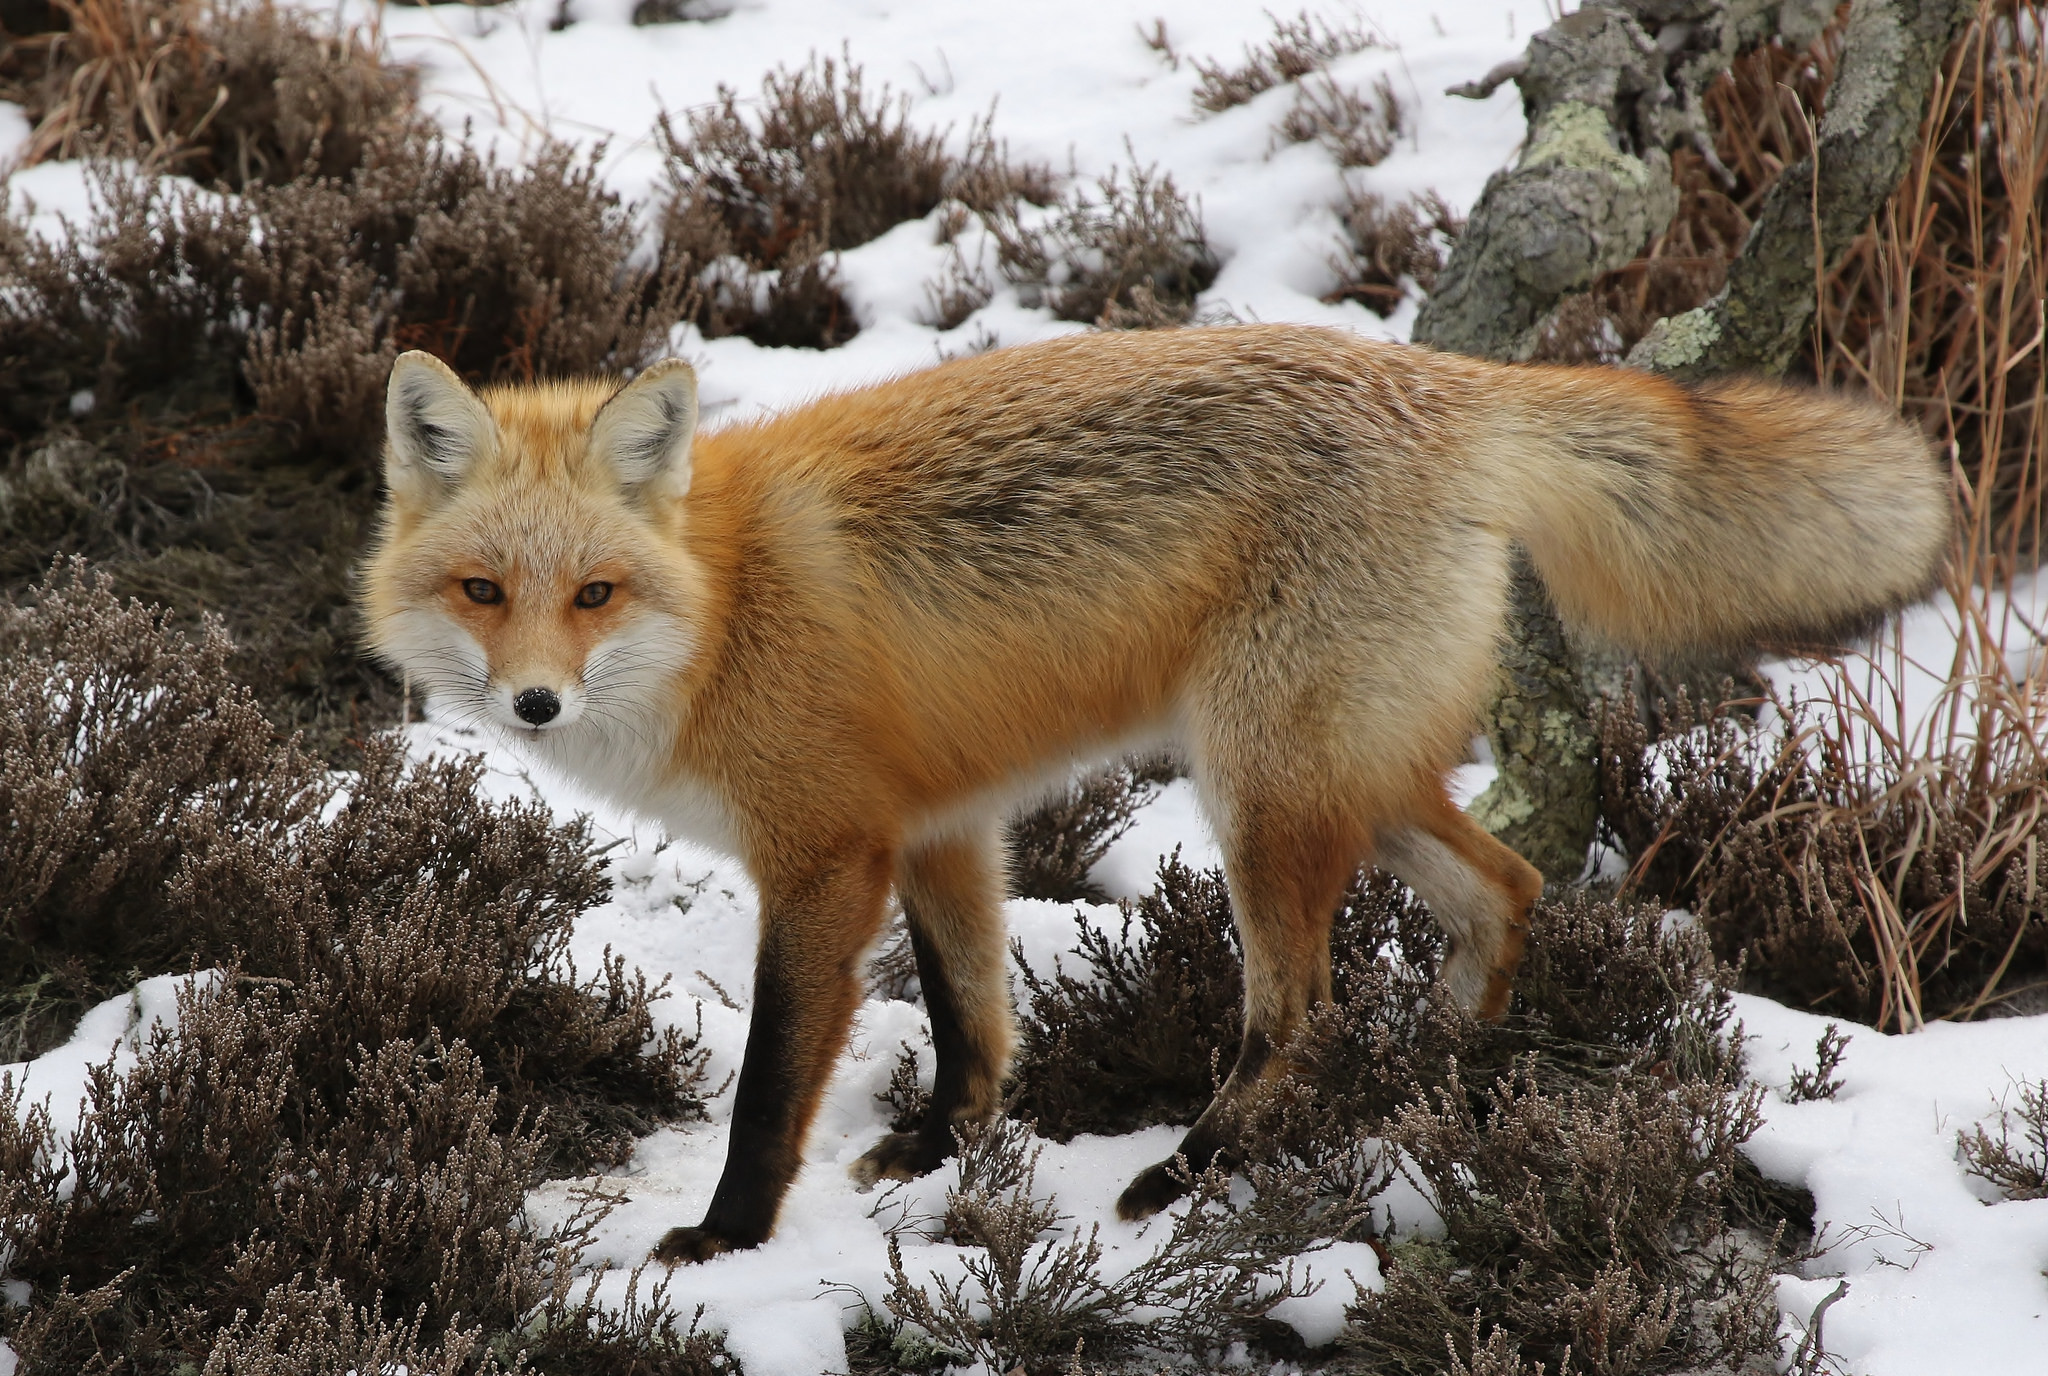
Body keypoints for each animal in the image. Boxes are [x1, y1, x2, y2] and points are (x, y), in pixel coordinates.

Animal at [356, 323, 1949, 1261]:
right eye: (485, 591)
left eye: (595, 595)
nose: (534, 702)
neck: (728, 606)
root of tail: (1448, 375)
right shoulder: (941, 824)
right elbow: (971, 1019)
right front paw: (941, 1151)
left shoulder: (824, 858)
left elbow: (768, 1087)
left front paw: (727, 1238)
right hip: (1348, 775)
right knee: (1506, 890)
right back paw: (1432, 1087)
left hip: (1260, 787)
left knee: (1296, 1010)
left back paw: (1190, 1176)